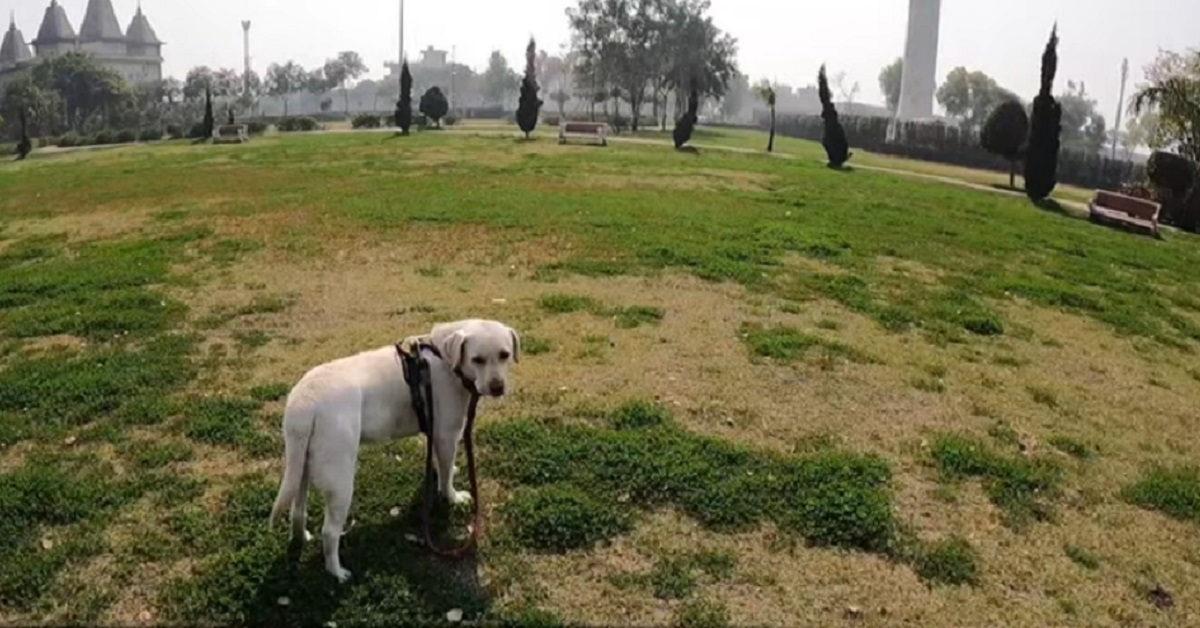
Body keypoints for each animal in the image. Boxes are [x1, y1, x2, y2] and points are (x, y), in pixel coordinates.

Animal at [268, 321, 520, 583]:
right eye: (477, 359)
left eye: (504, 355)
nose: (497, 387)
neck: (444, 356)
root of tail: (304, 401)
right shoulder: (447, 435)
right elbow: (446, 476)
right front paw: (452, 496)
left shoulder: (435, 434)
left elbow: (441, 465)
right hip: (340, 482)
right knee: (329, 532)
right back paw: (337, 572)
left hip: (301, 470)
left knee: (297, 512)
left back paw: (301, 538)